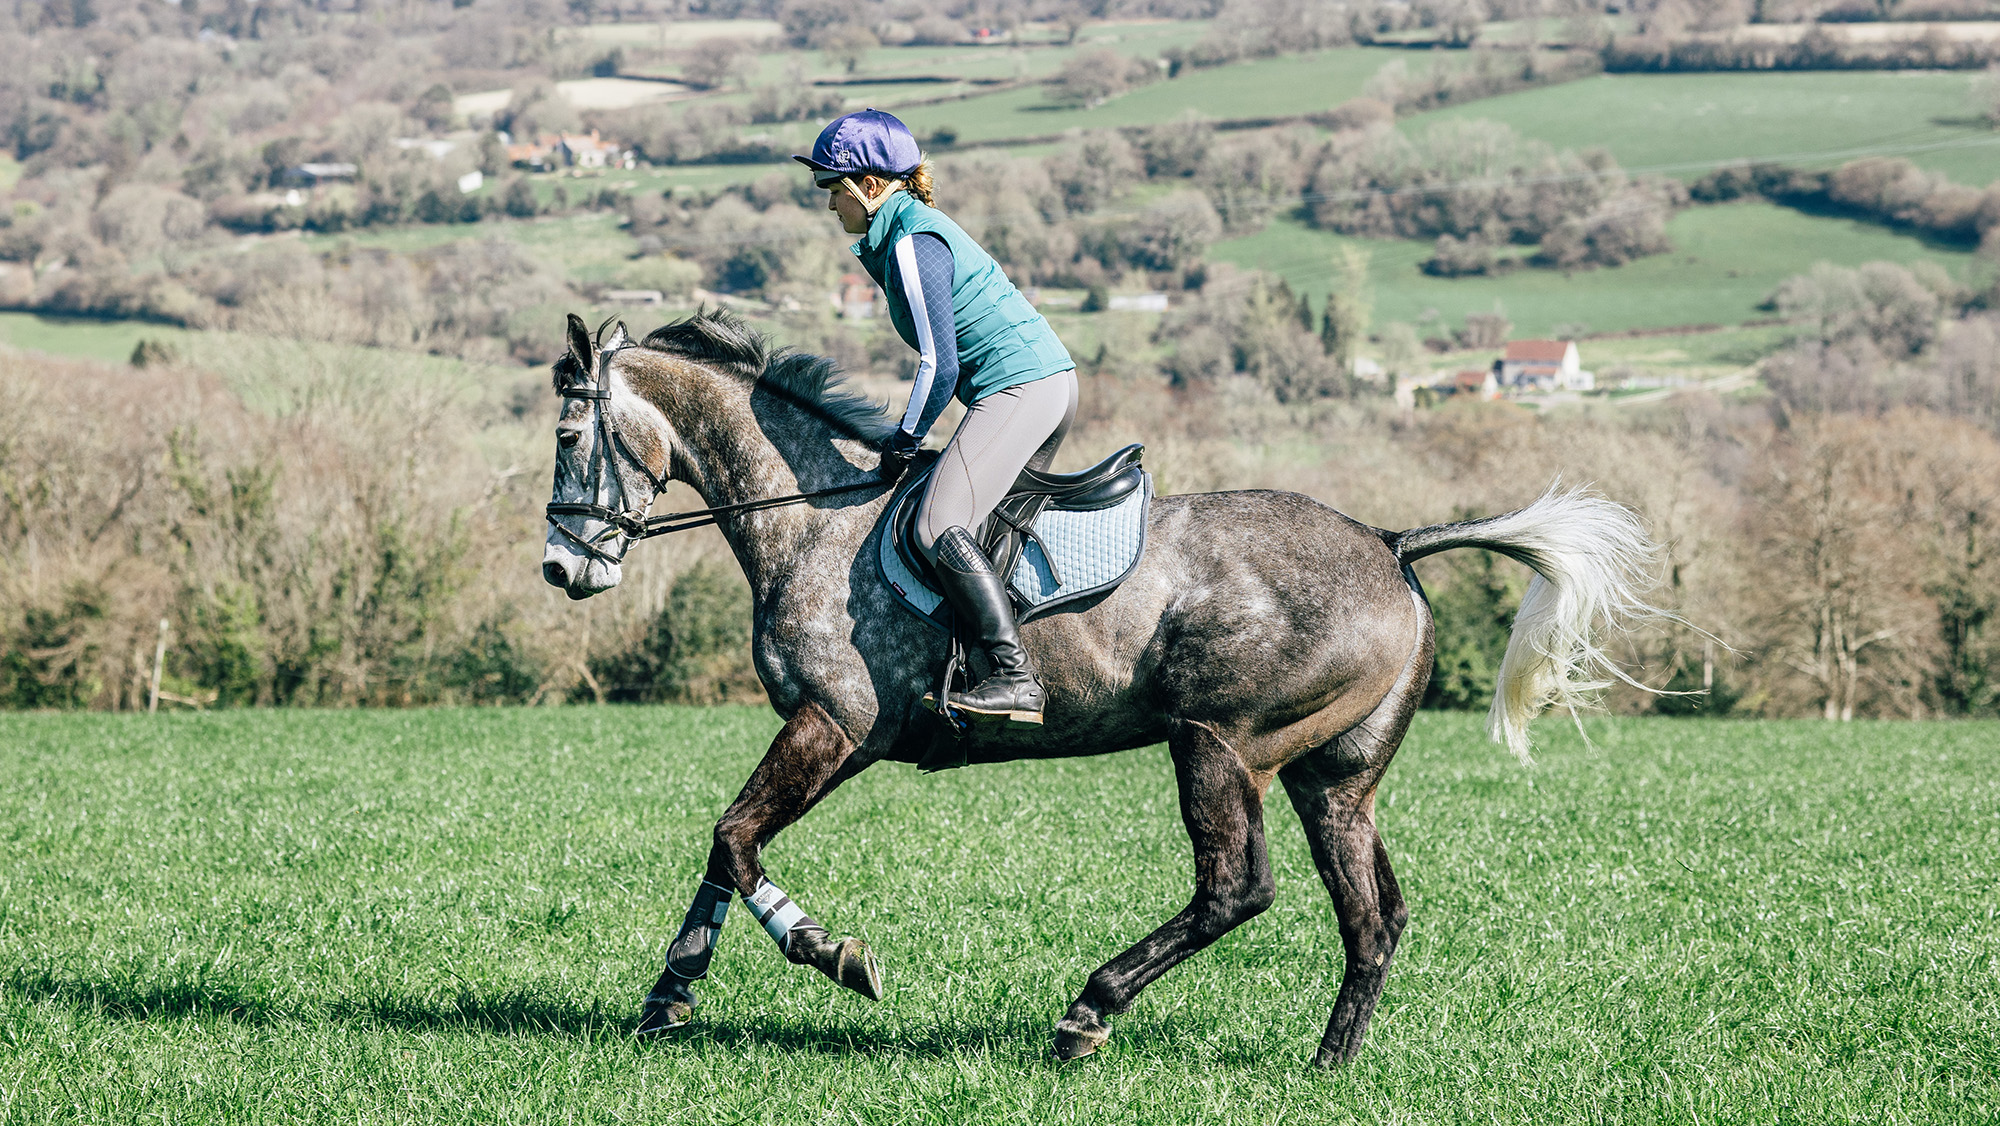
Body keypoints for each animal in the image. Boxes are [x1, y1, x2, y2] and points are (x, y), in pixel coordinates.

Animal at [539, 312, 1665, 1066]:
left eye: (564, 438)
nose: (563, 569)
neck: (813, 516)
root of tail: (1391, 543)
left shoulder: (835, 722)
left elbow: (735, 839)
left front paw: (832, 954)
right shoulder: (831, 735)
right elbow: (726, 848)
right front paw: (669, 994)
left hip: (1217, 743)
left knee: (1236, 888)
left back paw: (1087, 1010)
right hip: (1332, 778)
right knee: (1371, 915)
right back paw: (1327, 1063)